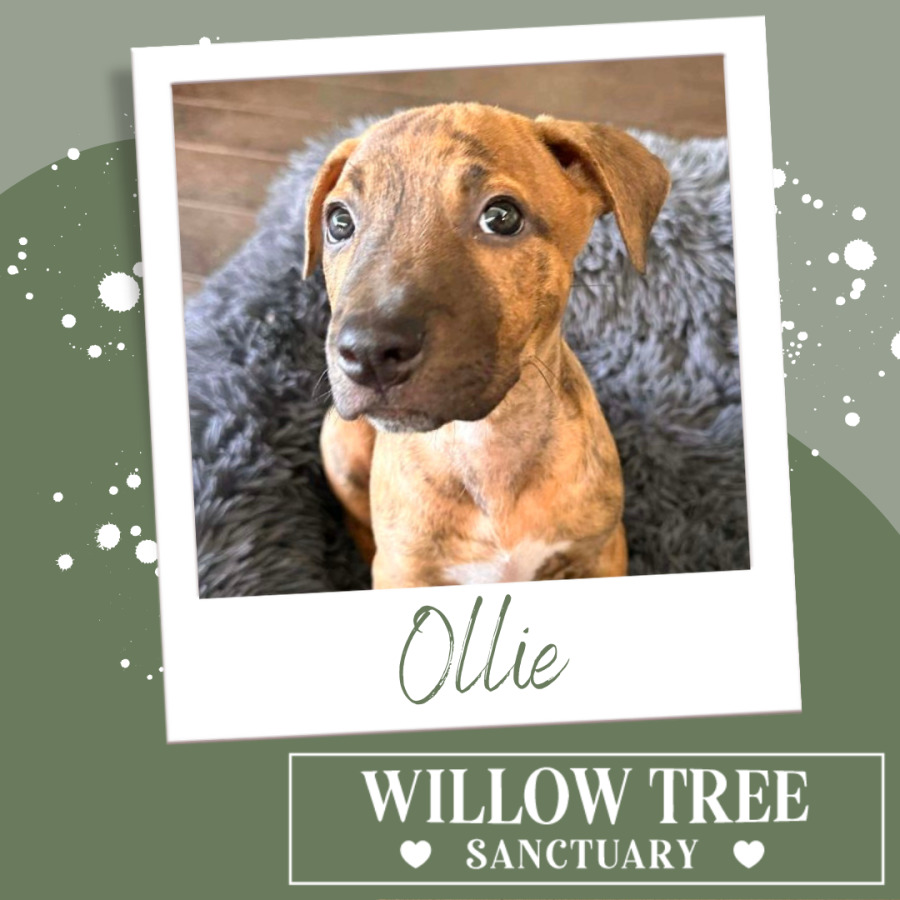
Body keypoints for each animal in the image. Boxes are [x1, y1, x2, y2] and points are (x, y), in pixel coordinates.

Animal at [303, 103, 670, 589]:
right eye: (340, 222)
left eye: (501, 217)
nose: (367, 352)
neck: (483, 442)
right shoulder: (403, 572)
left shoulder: (602, 553)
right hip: (339, 444)